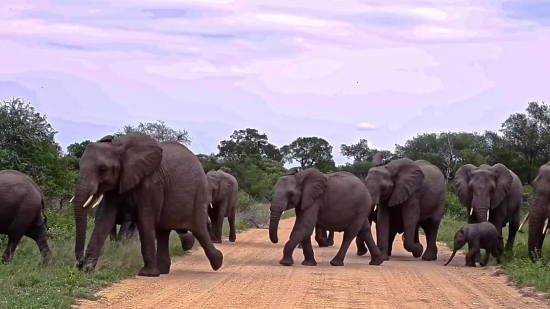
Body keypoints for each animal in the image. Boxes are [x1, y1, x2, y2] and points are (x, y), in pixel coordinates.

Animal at [72, 131, 223, 276]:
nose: (79, 264)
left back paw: (218, 262)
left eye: (103, 169)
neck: (119, 147)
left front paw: (147, 274)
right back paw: (163, 270)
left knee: (199, 229)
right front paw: (87, 271)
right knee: (163, 233)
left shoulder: (151, 183)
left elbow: (145, 219)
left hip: (198, 195)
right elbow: (105, 219)